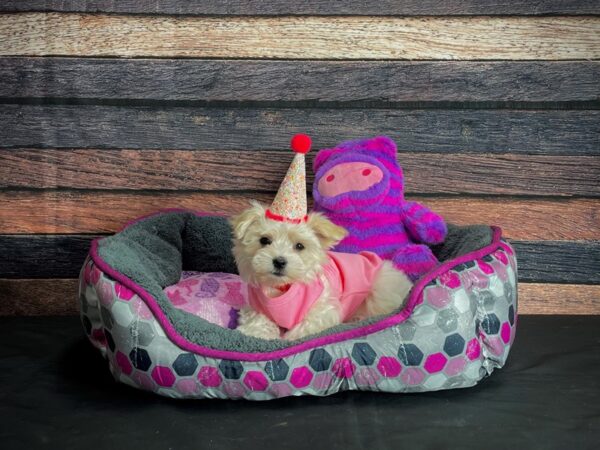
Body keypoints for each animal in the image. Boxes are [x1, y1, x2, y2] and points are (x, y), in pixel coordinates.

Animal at [230, 202, 412, 340]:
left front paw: (286, 339)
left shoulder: (323, 311)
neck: (282, 288)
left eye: (300, 246)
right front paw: (255, 332)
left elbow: (304, 328)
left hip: (380, 292)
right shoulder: (255, 307)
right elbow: (258, 321)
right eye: (264, 240)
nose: (279, 261)